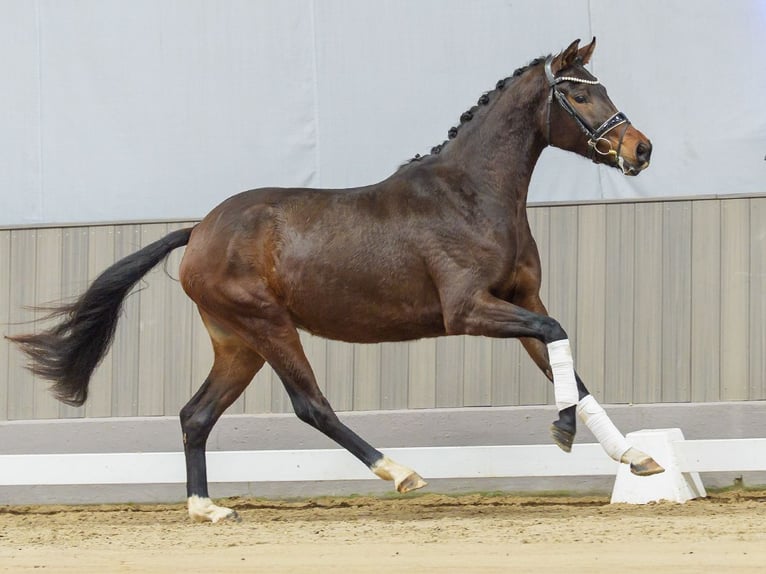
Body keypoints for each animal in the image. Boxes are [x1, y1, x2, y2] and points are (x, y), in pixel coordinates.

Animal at [8, 38, 663, 523]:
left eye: (601, 86)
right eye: (577, 91)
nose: (641, 149)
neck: (473, 195)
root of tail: (199, 232)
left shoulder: (519, 299)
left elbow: (568, 363)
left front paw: (637, 457)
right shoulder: (470, 310)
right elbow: (557, 335)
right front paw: (562, 431)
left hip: (237, 344)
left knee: (195, 414)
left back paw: (206, 509)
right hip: (267, 325)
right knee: (311, 405)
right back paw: (401, 473)